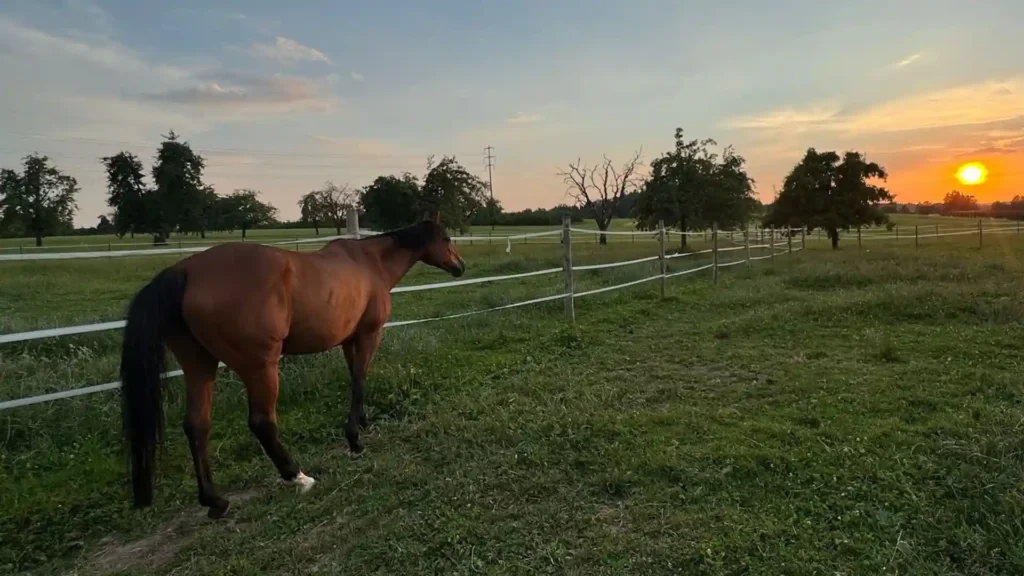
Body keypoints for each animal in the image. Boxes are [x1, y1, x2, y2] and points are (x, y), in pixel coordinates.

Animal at [119, 215, 465, 519]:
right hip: (261, 367)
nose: (460, 266)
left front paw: (363, 423)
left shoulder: (349, 341)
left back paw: (215, 501)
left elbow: (357, 380)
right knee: (262, 422)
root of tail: (185, 270)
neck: (370, 263)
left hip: (199, 366)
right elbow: (358, 382)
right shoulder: (368, 335)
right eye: (446, 238)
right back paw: (297, 476)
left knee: (197, 426)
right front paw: (354, 440)